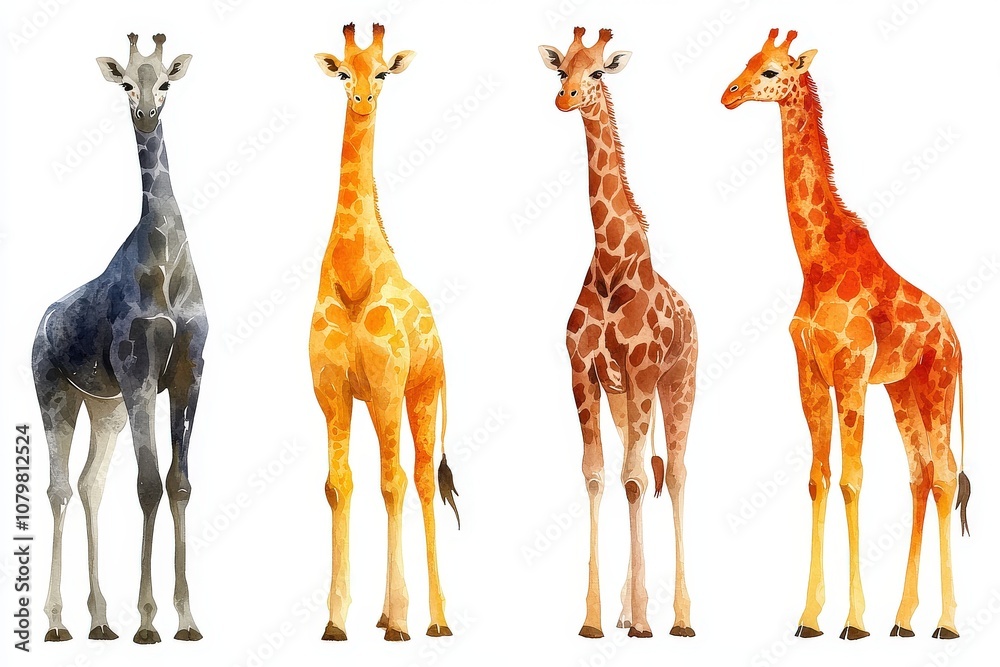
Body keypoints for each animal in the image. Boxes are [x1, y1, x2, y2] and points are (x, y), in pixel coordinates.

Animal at [32, 33, 204, 644]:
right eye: (127, 82)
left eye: (167, 80)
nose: (146, 112)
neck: (167, 266)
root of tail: (39, 323)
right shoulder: (139, 373)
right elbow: (148, 483)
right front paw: (149, 621)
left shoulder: (189, 373)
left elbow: (178, 484)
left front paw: (187, 619)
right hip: (53, 393)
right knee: (59, 487)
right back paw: (57, 623)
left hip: (101, 405)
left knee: (89, 484)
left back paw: (101, 619)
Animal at [538, 27, 697, 639]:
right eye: (562, 69)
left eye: (600, 71)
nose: (566, 98)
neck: (610, 267)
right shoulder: (585, 372)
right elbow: (597, 475)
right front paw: (595, 618)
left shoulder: (643, 368)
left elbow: (634, 477)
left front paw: (646, 619)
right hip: (626, 397)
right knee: (642, 471)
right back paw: (631, 611)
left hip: (676, 386)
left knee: (675, 475)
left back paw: (679, 617)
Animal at [722, 29, 972, 641]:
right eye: (746, 61)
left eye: (771, 71)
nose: (729, 93)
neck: (815, 263)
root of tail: (958, 339)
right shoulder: (810, 372)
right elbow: (818, 477)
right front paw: (810, 616)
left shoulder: (852, 371)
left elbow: (853, 479)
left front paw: (853, 621)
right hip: (903, 391)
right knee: (921, 475)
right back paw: (903, 620)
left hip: (937, 385)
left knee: (945, 475)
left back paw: (945, 623)